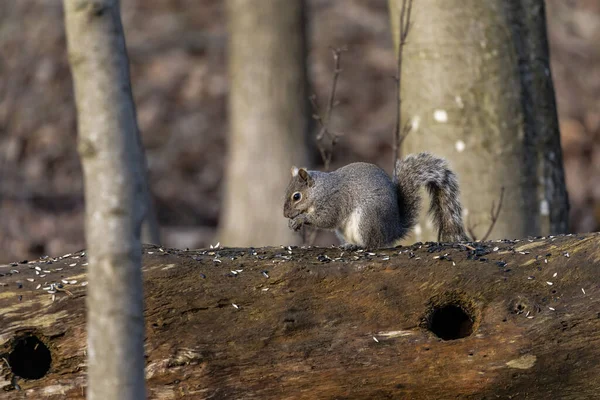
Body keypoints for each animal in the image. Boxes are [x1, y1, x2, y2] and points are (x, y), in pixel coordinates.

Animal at [284, 152, 472, 248]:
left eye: (296, 196)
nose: (286, 215)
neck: (319, 190)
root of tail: (392, 230)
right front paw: (292, 223)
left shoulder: (334, 200)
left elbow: (327, 219)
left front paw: (300, 219)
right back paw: (348, 245)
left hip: (367, 218)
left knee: (372, 244)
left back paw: (359, 246)